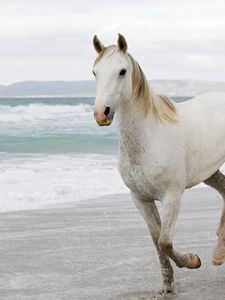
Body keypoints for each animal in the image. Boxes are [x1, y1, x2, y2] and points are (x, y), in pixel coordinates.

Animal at [91, 34, 225, 296]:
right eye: (95, 72)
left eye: (122, 71)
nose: (102, 113)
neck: (151, 136)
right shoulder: (141, 199)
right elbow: (156, 242)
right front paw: (167, 286)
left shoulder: (172, 196)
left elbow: (165, 242)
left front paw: (192, 260)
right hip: (209, 172)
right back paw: (219, 252)